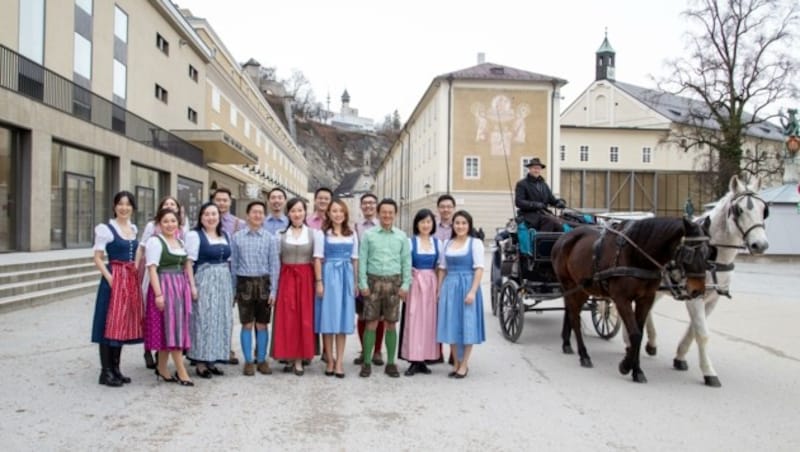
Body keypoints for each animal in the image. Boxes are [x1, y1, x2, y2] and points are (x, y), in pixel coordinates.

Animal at [552, 217, 708, 384]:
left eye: (708, 252)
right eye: (689, 254)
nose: (698, 290)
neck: (636, 256)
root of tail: (563, 238)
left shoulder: (645, 299)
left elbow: (639, 333)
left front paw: (637, 370)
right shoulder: (622, 300)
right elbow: (635, 334)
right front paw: (625, 366)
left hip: (582, 289)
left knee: (570, 312)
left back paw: (567, 343)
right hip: (571, 285)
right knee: (575, 317)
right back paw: (583, 355)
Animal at [624, 175, 768, 386]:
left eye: (763, 209)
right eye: (739, 209)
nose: (761, 244)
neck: (713, 257)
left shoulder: (712, 298)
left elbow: (694, 329)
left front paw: (680, 356)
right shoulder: (694, 297)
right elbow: (703, 333)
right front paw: (709, 372)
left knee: (647, 310)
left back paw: (651, 343)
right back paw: (629, 341)